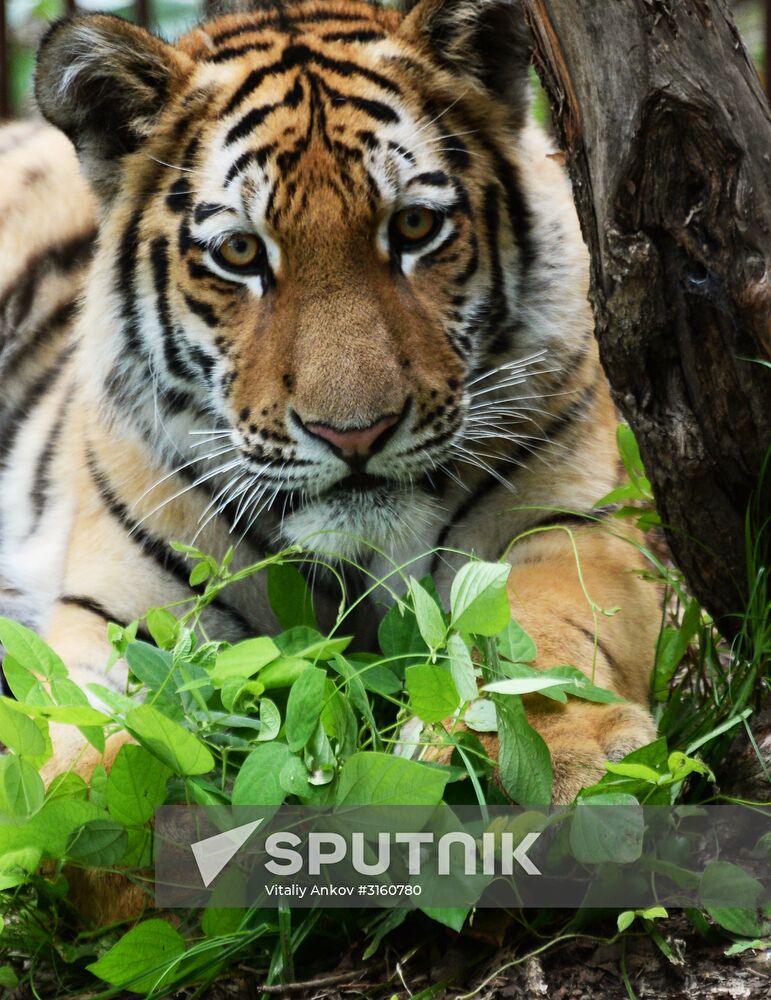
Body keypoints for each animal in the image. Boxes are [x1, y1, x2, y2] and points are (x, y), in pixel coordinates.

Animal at [0, 0, 661, 807]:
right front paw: (68, 794)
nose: (355, 435)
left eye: (413, 226)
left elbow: (537, 637)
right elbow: (81, 732)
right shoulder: (126, 615)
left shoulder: (574, 526)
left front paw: (554, 756)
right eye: (240, 253)